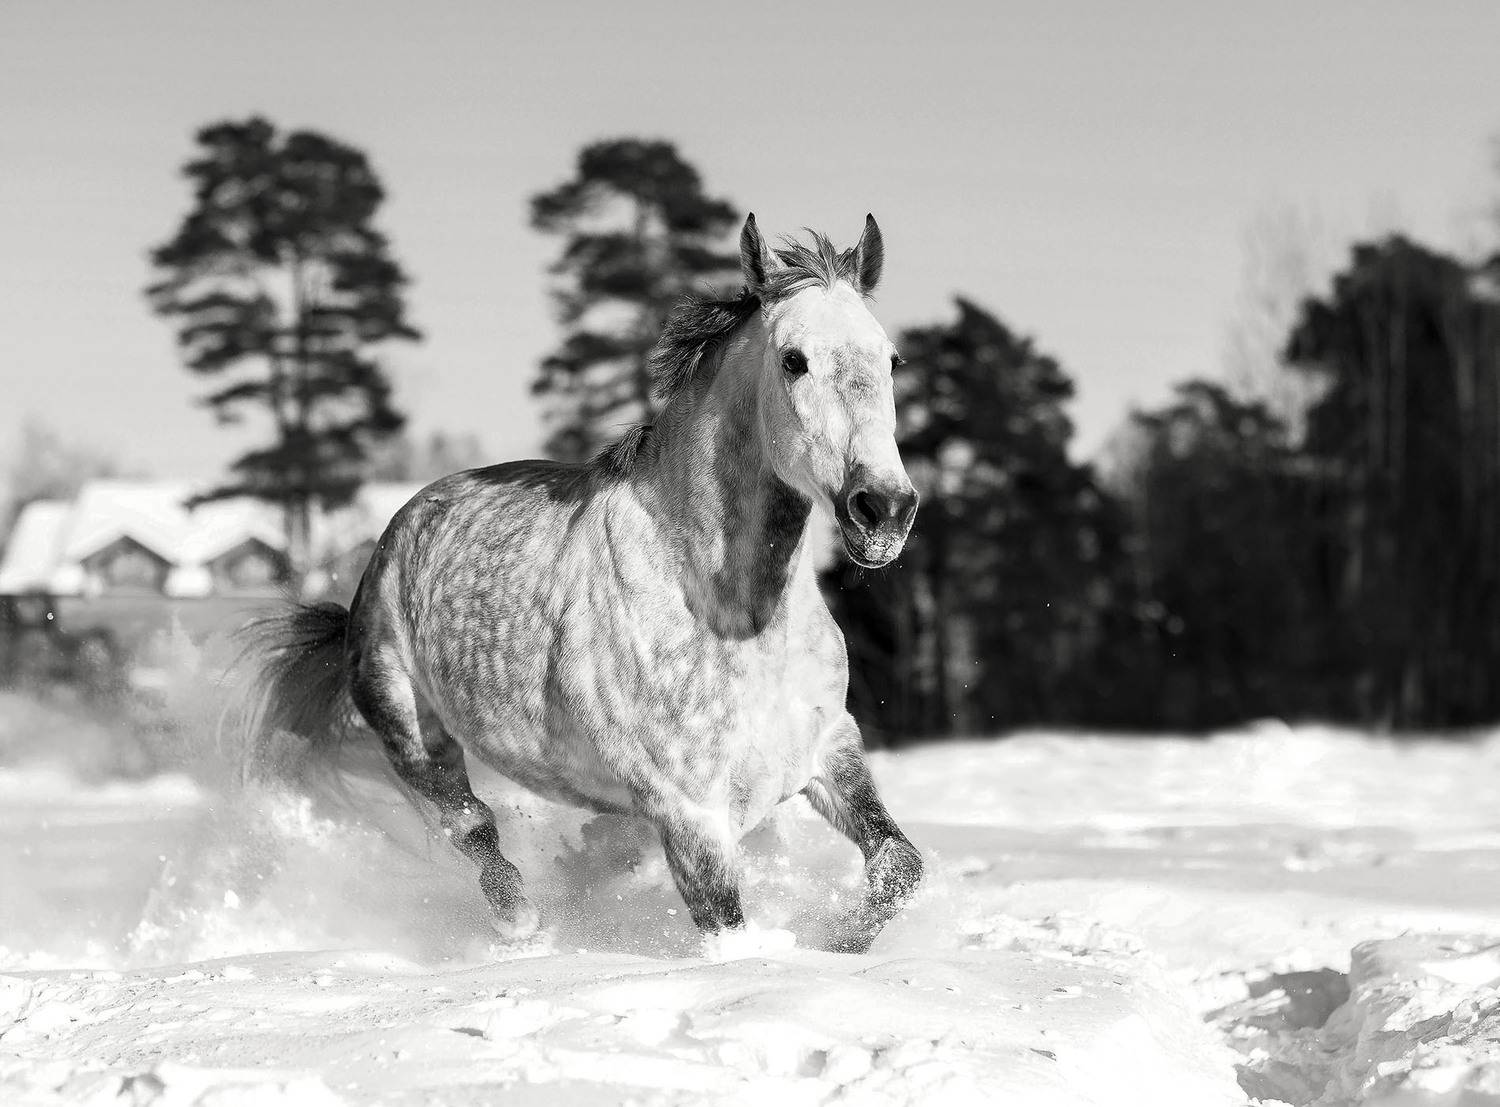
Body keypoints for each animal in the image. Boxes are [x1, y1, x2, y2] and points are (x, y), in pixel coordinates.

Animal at [248, 213, 923, 954]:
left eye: (891, 360)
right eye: (793, 359)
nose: (883, 509)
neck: (732, 622)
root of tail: (392, 541)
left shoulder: (829, 750)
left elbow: (900, 864)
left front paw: (840, 942)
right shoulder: (689, 815)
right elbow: (733, 937)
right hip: (411, 732)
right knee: (469, 824)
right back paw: (522, 925)